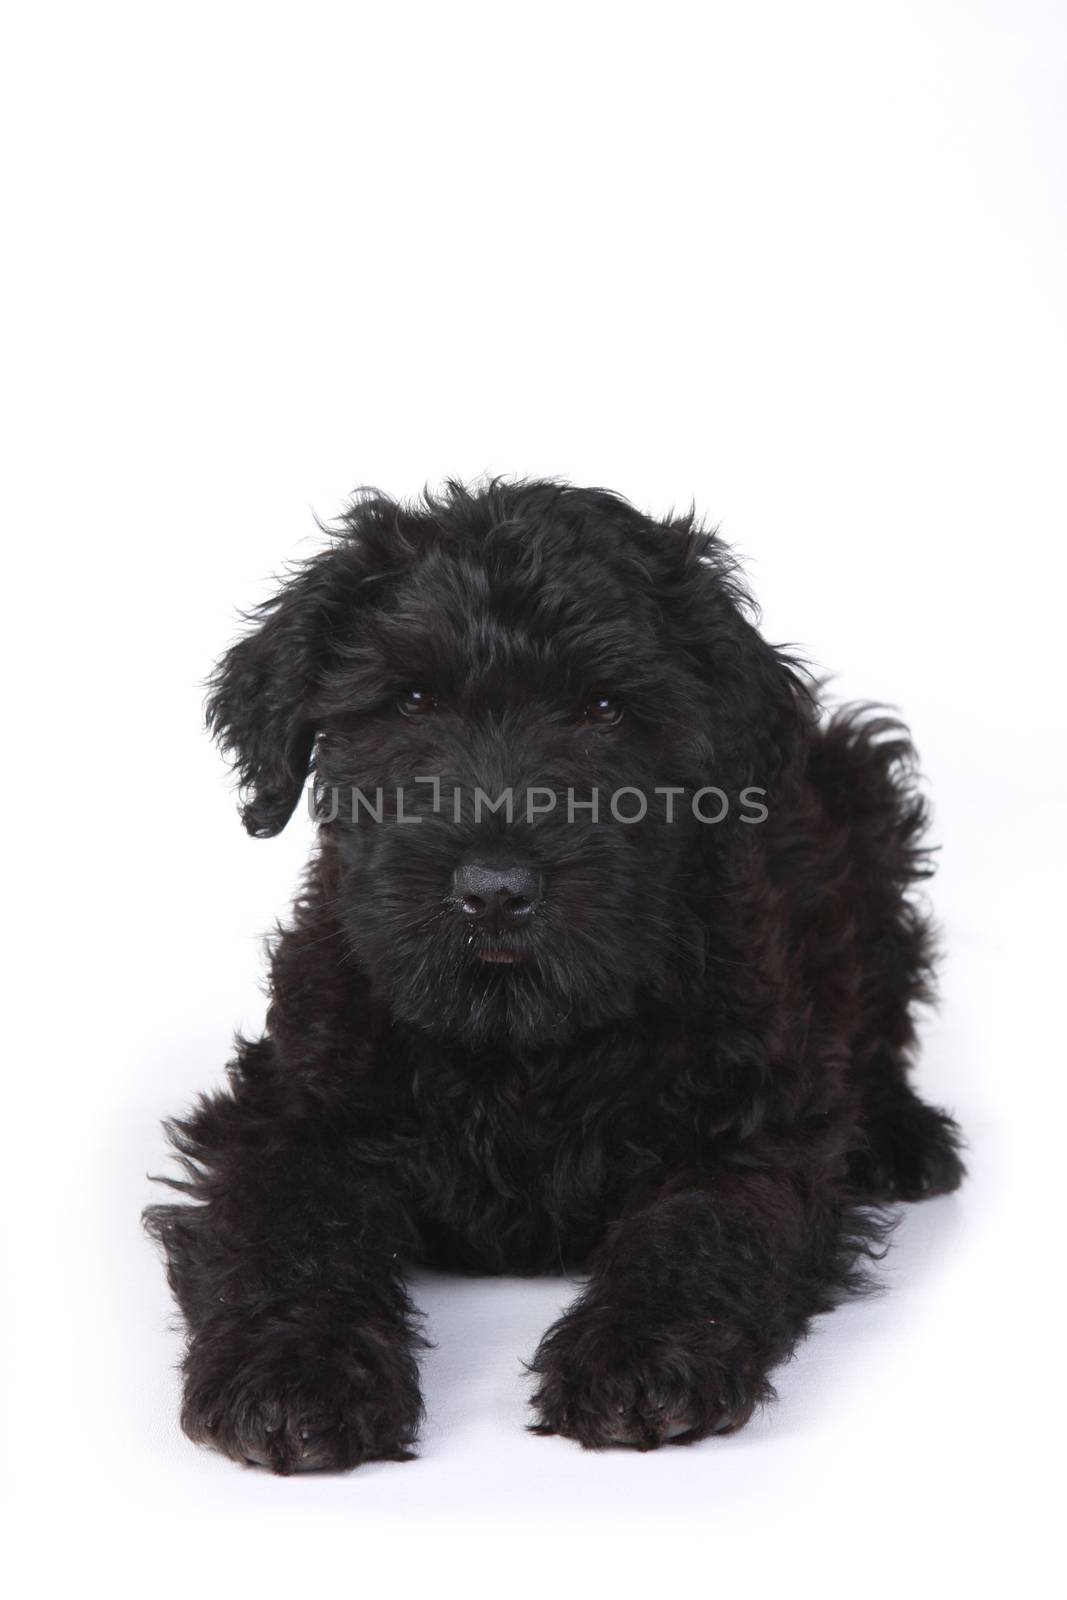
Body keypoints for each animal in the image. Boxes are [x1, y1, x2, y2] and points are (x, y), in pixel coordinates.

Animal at [146, 476, 966, 1472]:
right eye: (410, 699)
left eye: (605, 711)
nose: (496, 891)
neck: (515, 1038)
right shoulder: (286, 1108)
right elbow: (287, 1232)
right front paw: (294, 1374)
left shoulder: (751, 1125)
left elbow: (699, 1229)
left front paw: (637, 1358)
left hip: (867, 814)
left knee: (877, 1019)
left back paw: (898, 1134)